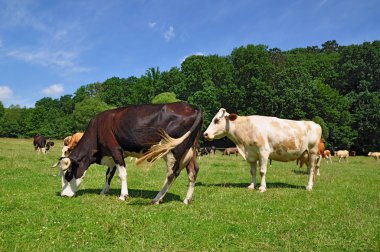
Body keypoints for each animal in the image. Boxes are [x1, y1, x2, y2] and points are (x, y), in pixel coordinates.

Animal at [56, 102, 203, 205]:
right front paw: (104, 191)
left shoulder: (115, 150)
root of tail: (193, 107)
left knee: (172, 174)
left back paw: (157, 198)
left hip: (175, 150)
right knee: (193, 171)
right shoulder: (111, 156)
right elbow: (108, 174)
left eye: (68, 173)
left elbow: (122, 174)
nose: (63, 195)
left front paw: (123, 195)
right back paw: (187, 200)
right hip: (189, 150)